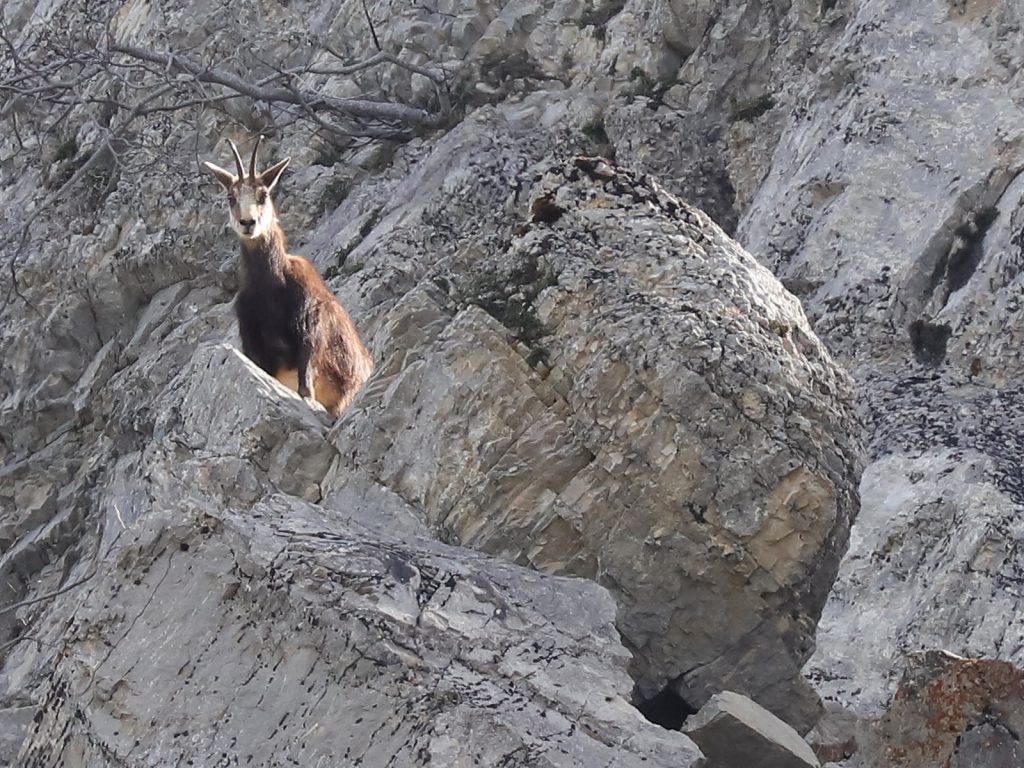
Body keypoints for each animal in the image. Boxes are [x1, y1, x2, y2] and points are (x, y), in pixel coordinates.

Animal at [203, 137, 374, 416]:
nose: (247, 223)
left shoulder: (309, 327)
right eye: (231, 197)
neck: (269, 285)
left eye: (263, 195)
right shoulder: (253, 344)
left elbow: (306, 385)